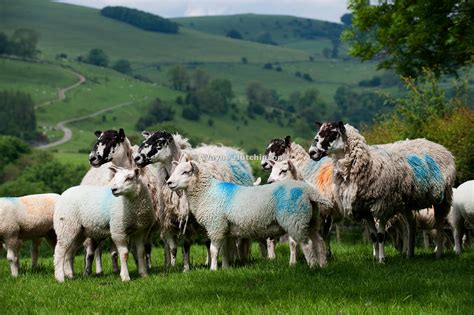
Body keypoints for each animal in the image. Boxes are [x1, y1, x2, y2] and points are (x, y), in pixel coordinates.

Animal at [165, 159, 328, 270]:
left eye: (185, 172)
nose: (169, 183)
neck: (207, 192)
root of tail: (308, 191)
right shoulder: (225, 228)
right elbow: (225, 250)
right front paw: (225, 268)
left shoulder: (215, 226)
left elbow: (213, 250)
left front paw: (213, 269)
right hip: (311, 220)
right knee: (319, 241)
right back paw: (322, 265)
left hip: (296, 219)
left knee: (307, 244)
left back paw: (312, 266)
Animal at [308, 122, 456, 262]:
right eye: (319, 133)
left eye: (333, 134)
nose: (312, 152)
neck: (369, 163)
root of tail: (441, 147)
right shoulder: (364, 209)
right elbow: (373, 236)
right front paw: (376, 259)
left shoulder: (382, 205)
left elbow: (380, 236)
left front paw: (381, 260)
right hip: (407, 203)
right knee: (411, 225)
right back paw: (409, 255)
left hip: (442, 197)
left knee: (439, 225)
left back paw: (438, 254)